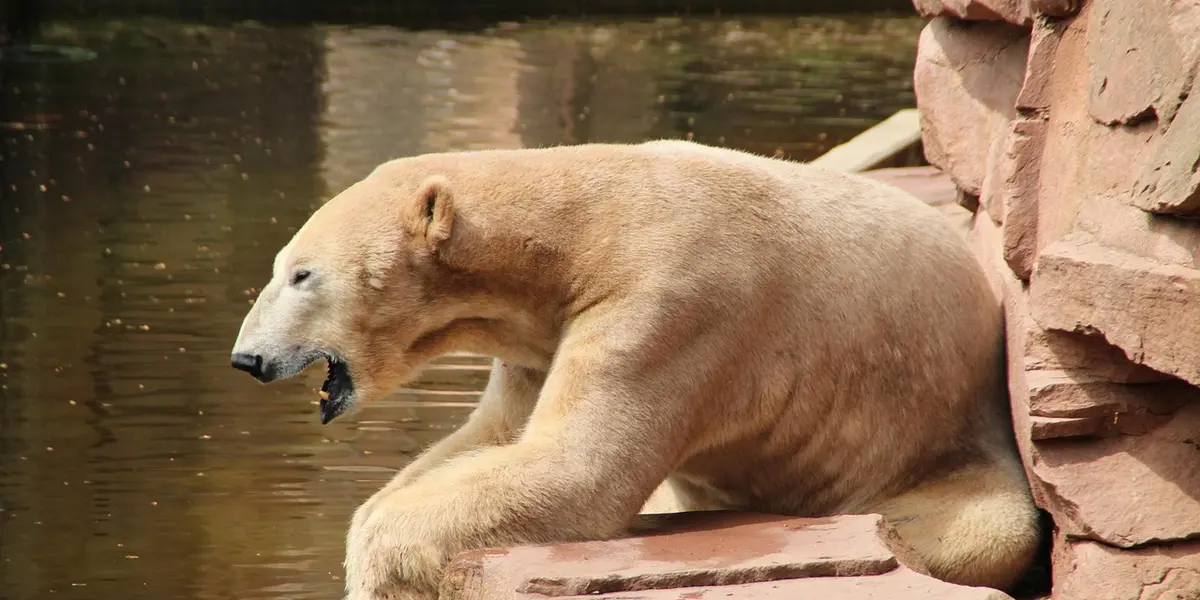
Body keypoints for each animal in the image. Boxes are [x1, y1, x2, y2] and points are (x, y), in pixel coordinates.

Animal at [230, 140, 1040, 600]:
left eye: (301, 274)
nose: (246, 357)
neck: (574, 227)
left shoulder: (671, 301)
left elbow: (577, 470)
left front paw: (378, 562)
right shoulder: (539, 339)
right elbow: (493, 439)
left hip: (941, 449)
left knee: (978, 530)